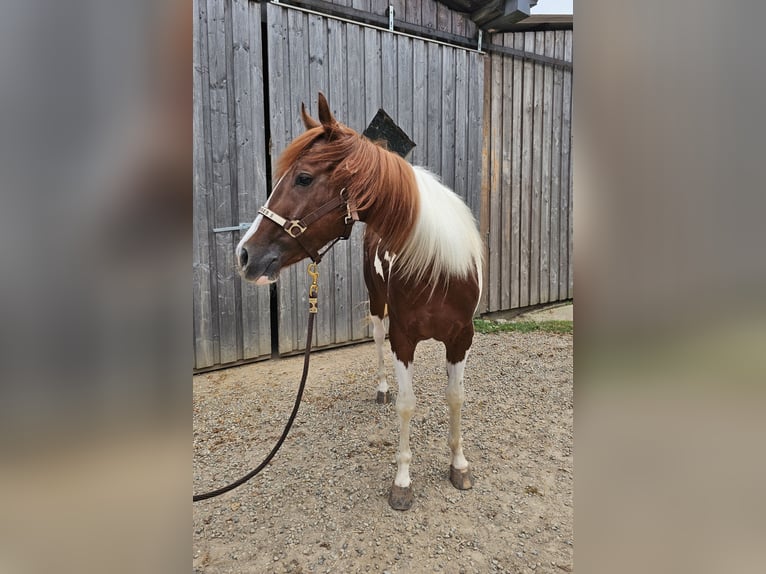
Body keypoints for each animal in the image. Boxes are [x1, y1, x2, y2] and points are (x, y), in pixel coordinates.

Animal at [237, 94, 484, 512]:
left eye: (304, 178)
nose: (244, 254)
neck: (438, 266)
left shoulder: (461, 338)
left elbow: (456, 398)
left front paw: (459, 465)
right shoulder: (403, 339)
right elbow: (406, 403)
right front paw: (402, 483)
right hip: (377, 304)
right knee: (377, 340)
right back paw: (382, 388)